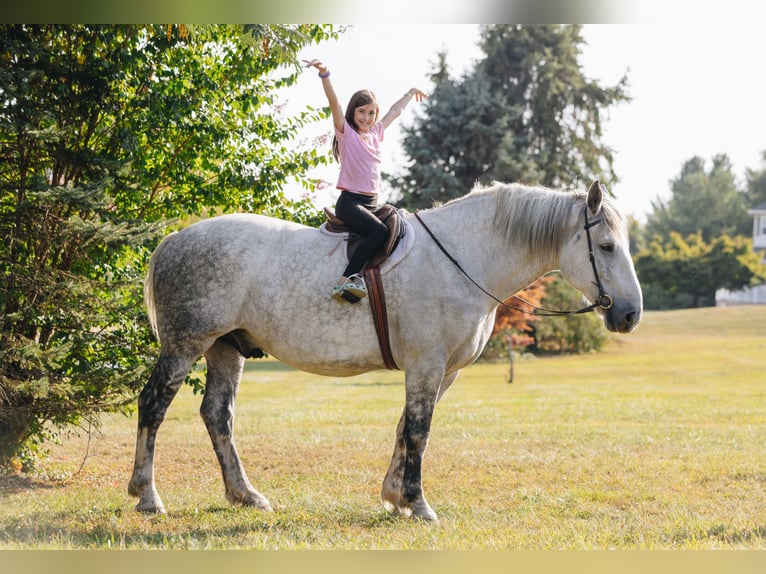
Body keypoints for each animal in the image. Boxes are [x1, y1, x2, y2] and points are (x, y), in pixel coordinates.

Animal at [130, 182, 640, 524]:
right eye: (607, 246)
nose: (631, 313)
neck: (463, 258)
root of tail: (173, 241)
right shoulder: (426, 364)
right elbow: (418, 431)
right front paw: (418, 502)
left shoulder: (442, 372)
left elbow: (405, 428)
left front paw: (395, 497)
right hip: (185, 345)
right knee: (153, 406)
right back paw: (147, 495)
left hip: (224, 348)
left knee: (218, 415)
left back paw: (245, 495)